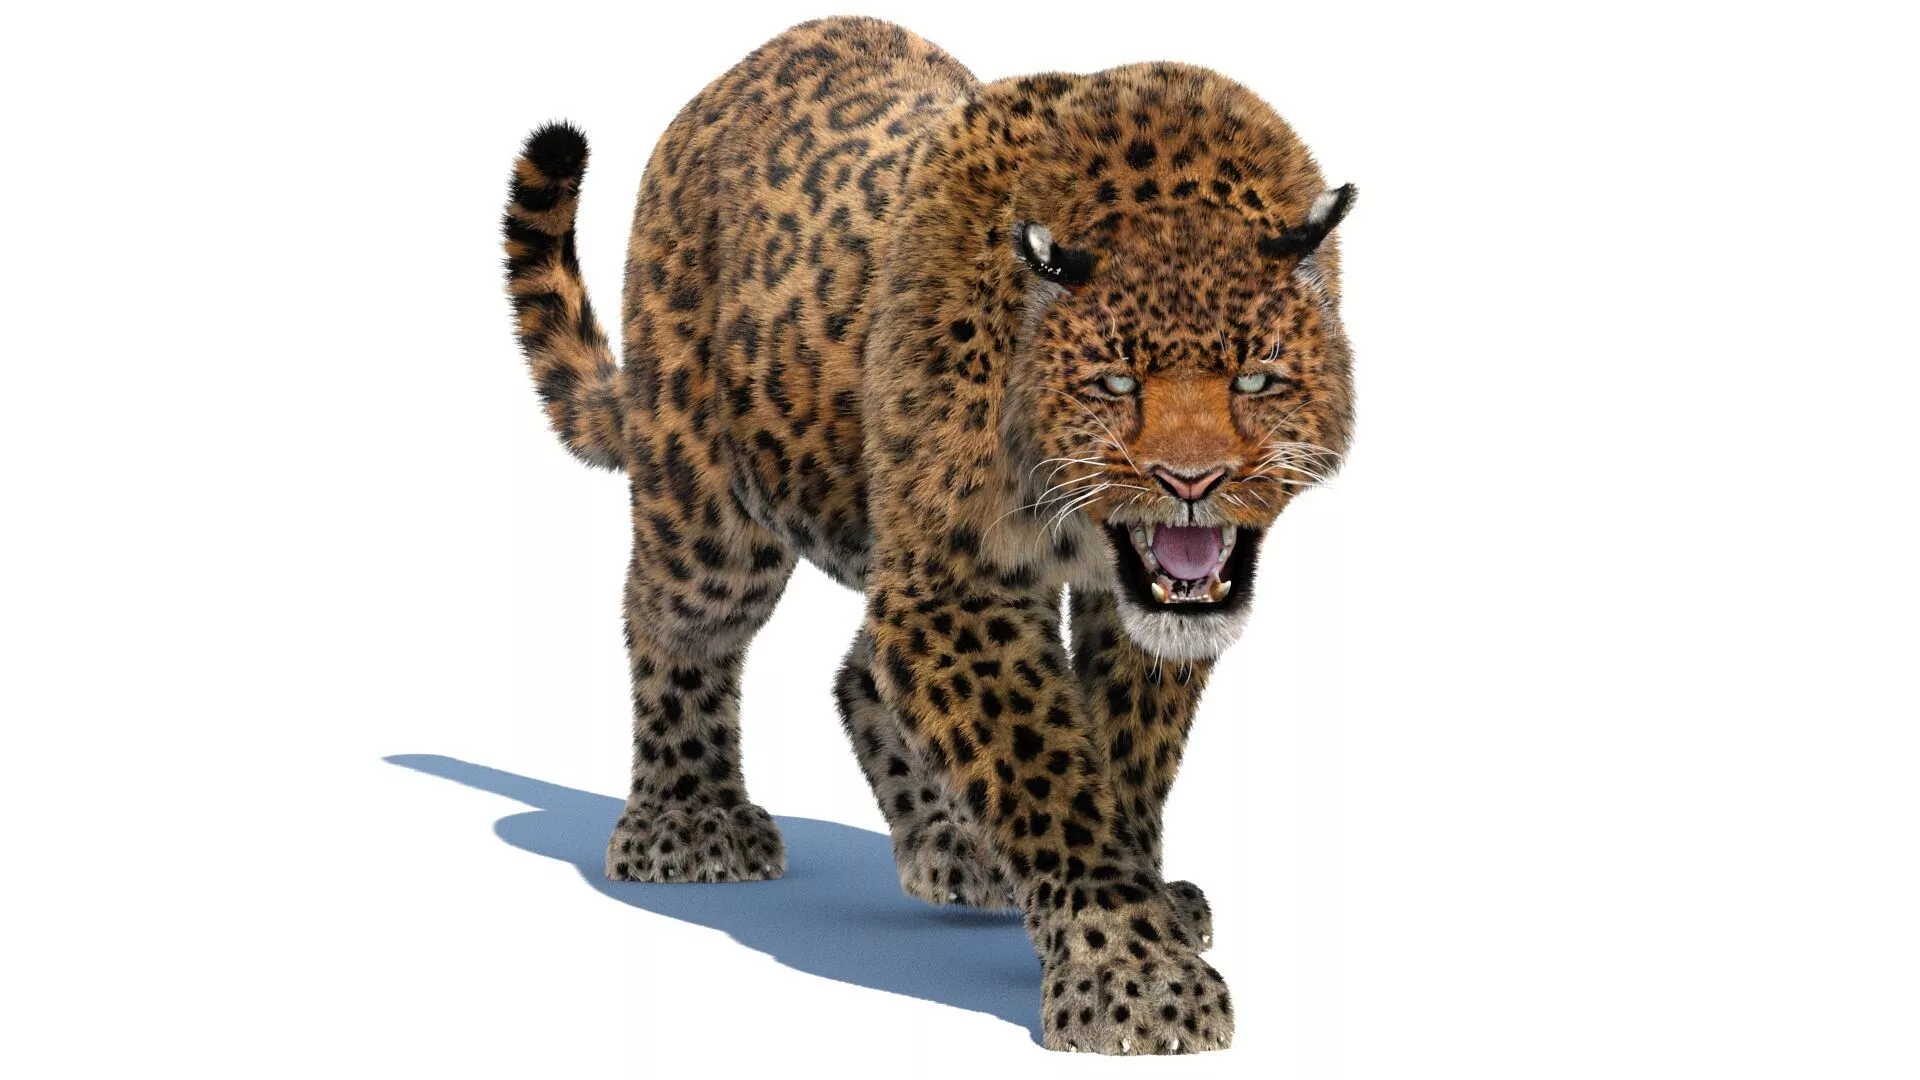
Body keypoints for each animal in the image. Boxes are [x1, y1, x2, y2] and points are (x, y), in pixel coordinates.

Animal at [499, 16, 1355, 1055]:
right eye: (1114, 382)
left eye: (1256, 378)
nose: (1192, 485)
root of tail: (723, 87)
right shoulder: (956, 579)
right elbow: (1045, 768)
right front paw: (1133, 975)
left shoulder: (1127, 603)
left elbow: (1123, 752)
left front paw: (1138, 906)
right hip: (709, 502)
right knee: (675, 623)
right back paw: (688, 821)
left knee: (862, 671)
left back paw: (957, 846)